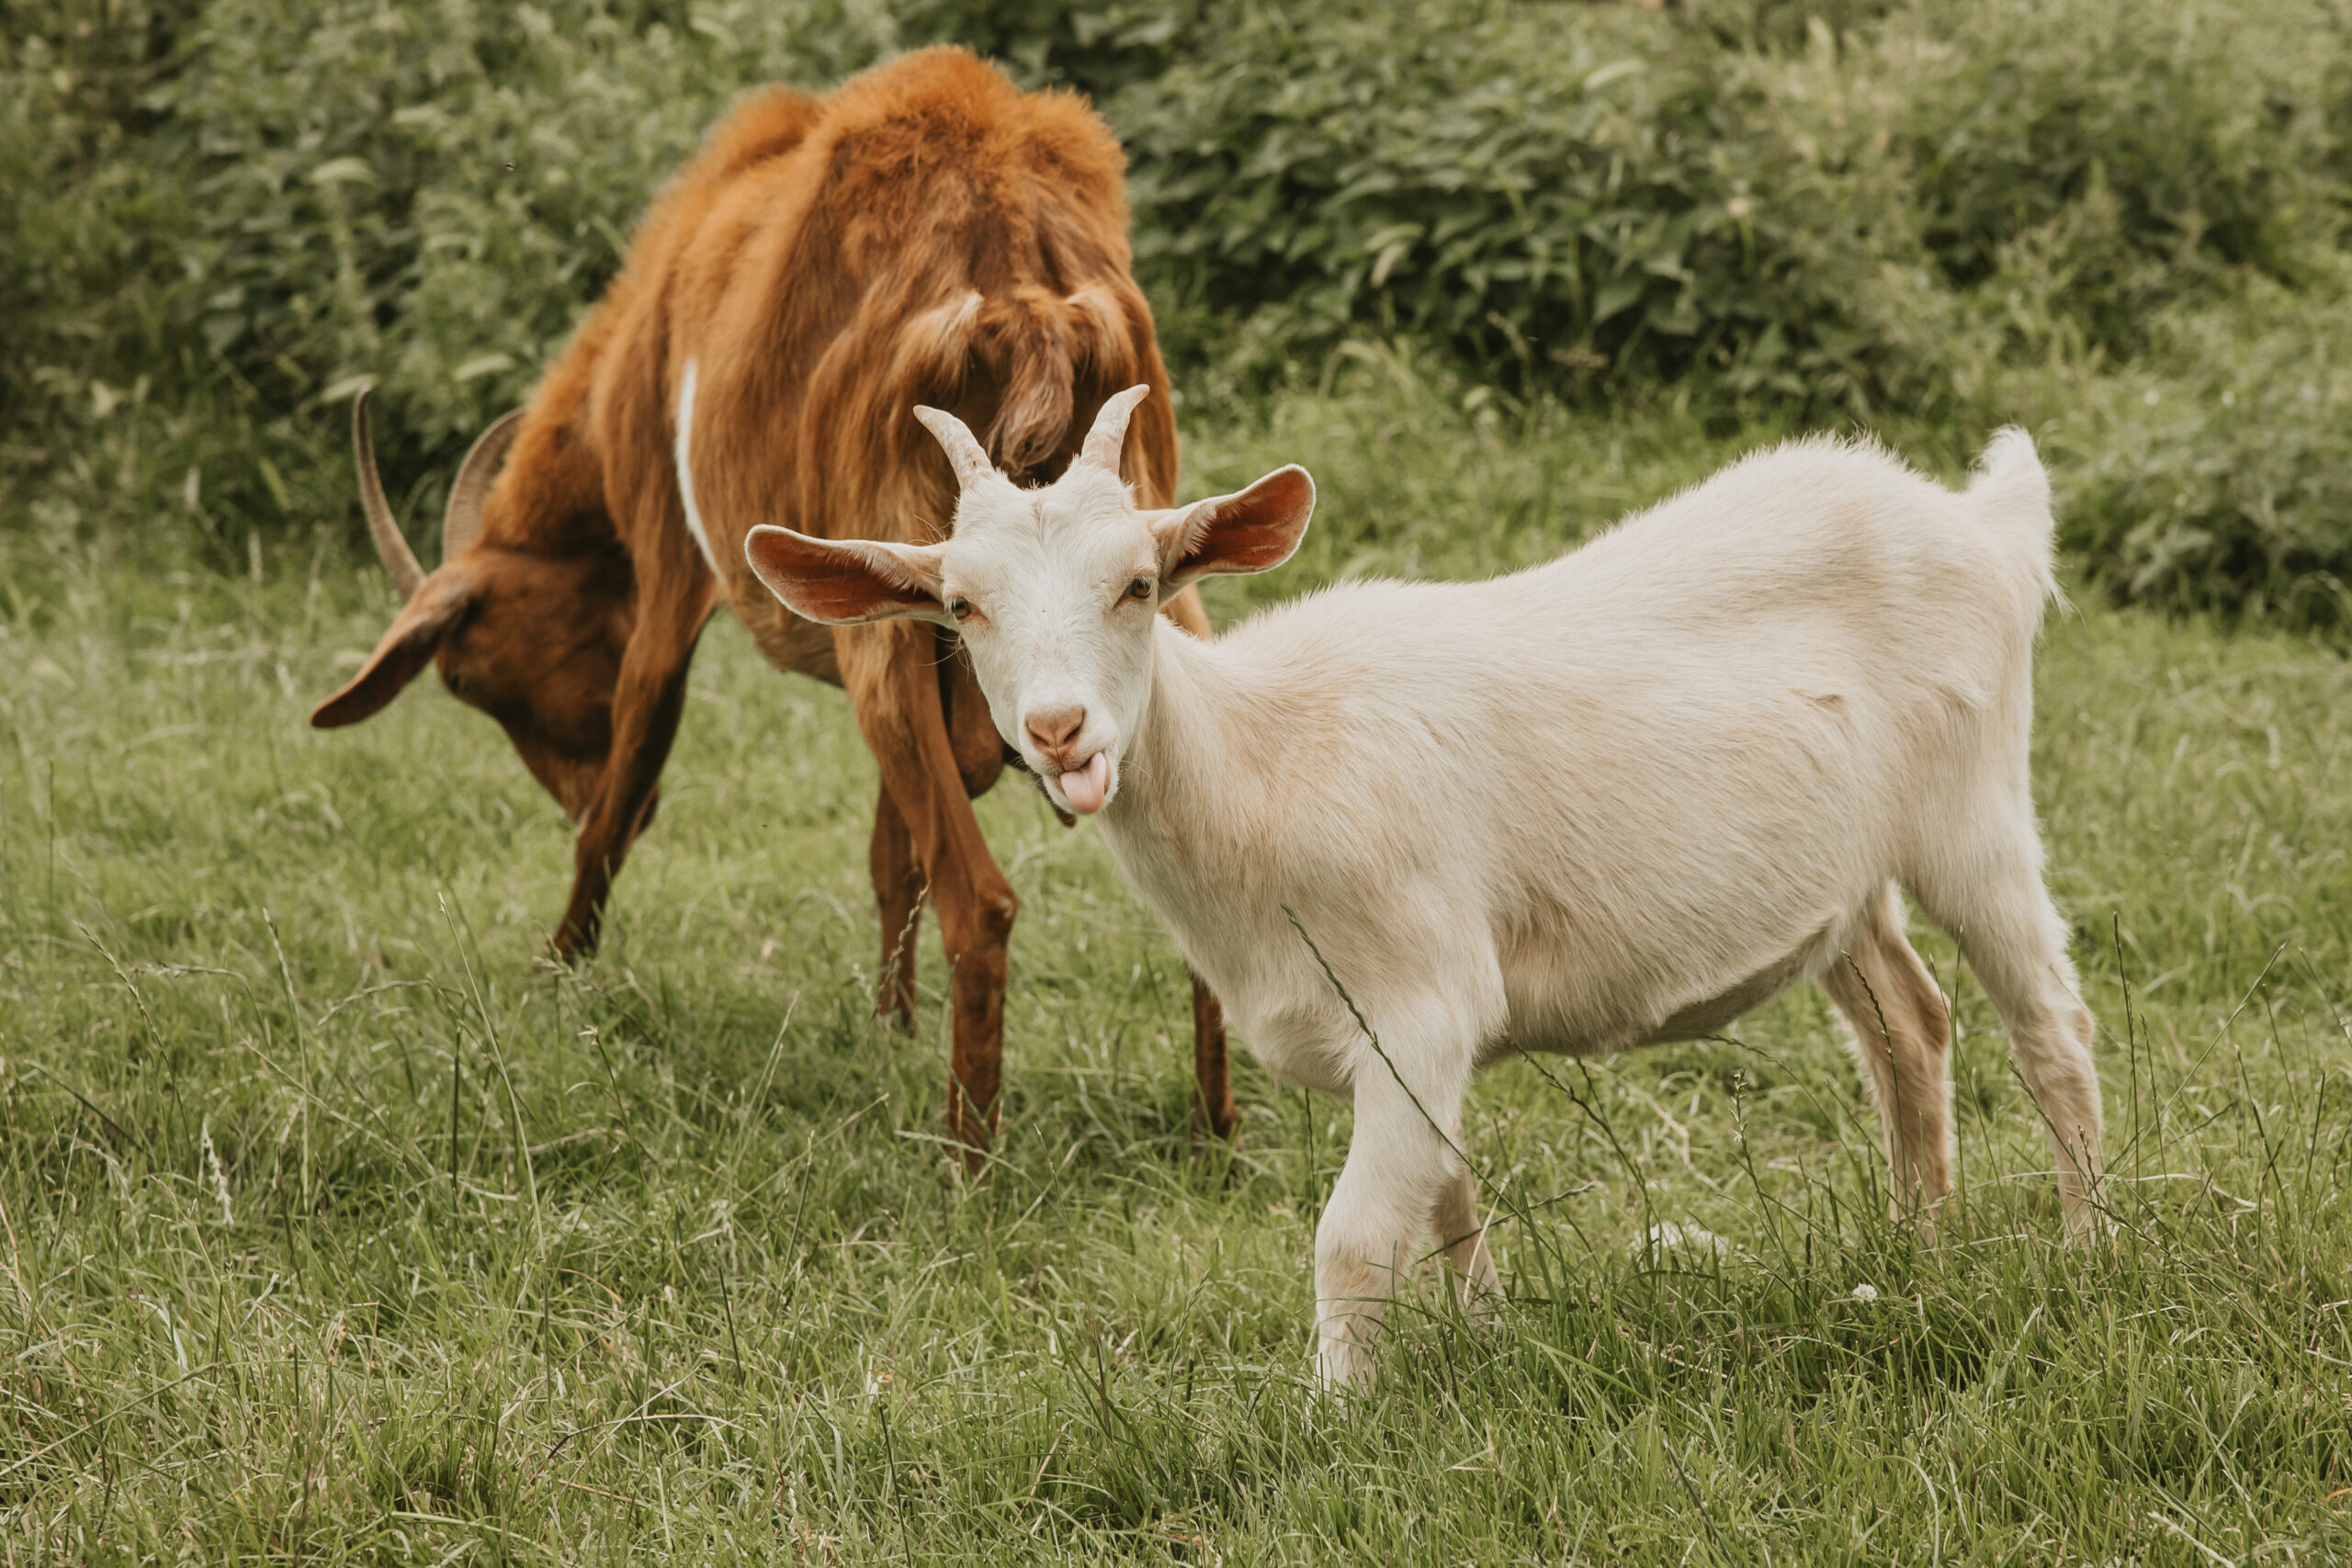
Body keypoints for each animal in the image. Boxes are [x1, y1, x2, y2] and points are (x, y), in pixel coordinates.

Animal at [312, 46, 1241, 1166]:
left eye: (471, 677)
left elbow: (621, 798)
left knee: (981, 903)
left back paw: (966, 1165)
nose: (564, 787)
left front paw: (553, 977)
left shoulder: (674, 569)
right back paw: (1214, 1131)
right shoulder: (919, 625)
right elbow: (891, 857)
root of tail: (1023, 290)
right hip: (1148, 569)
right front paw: (891, 1026)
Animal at [710, 385, 2098, 1382]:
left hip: (1973, 809)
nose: (1060, 733)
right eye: (960, 604)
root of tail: (1981, 520)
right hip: (1843, 881)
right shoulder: (1409, 1039)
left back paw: (2090, 1254)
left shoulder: (1420, 998)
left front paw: (1335, 1418)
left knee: (2049, 1027)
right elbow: (1446, 1195)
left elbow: (1355, 1235)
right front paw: (1489, 1341)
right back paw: (1917, 1253)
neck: (1263, 768)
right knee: (1911, 1022)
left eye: (1140, 584)